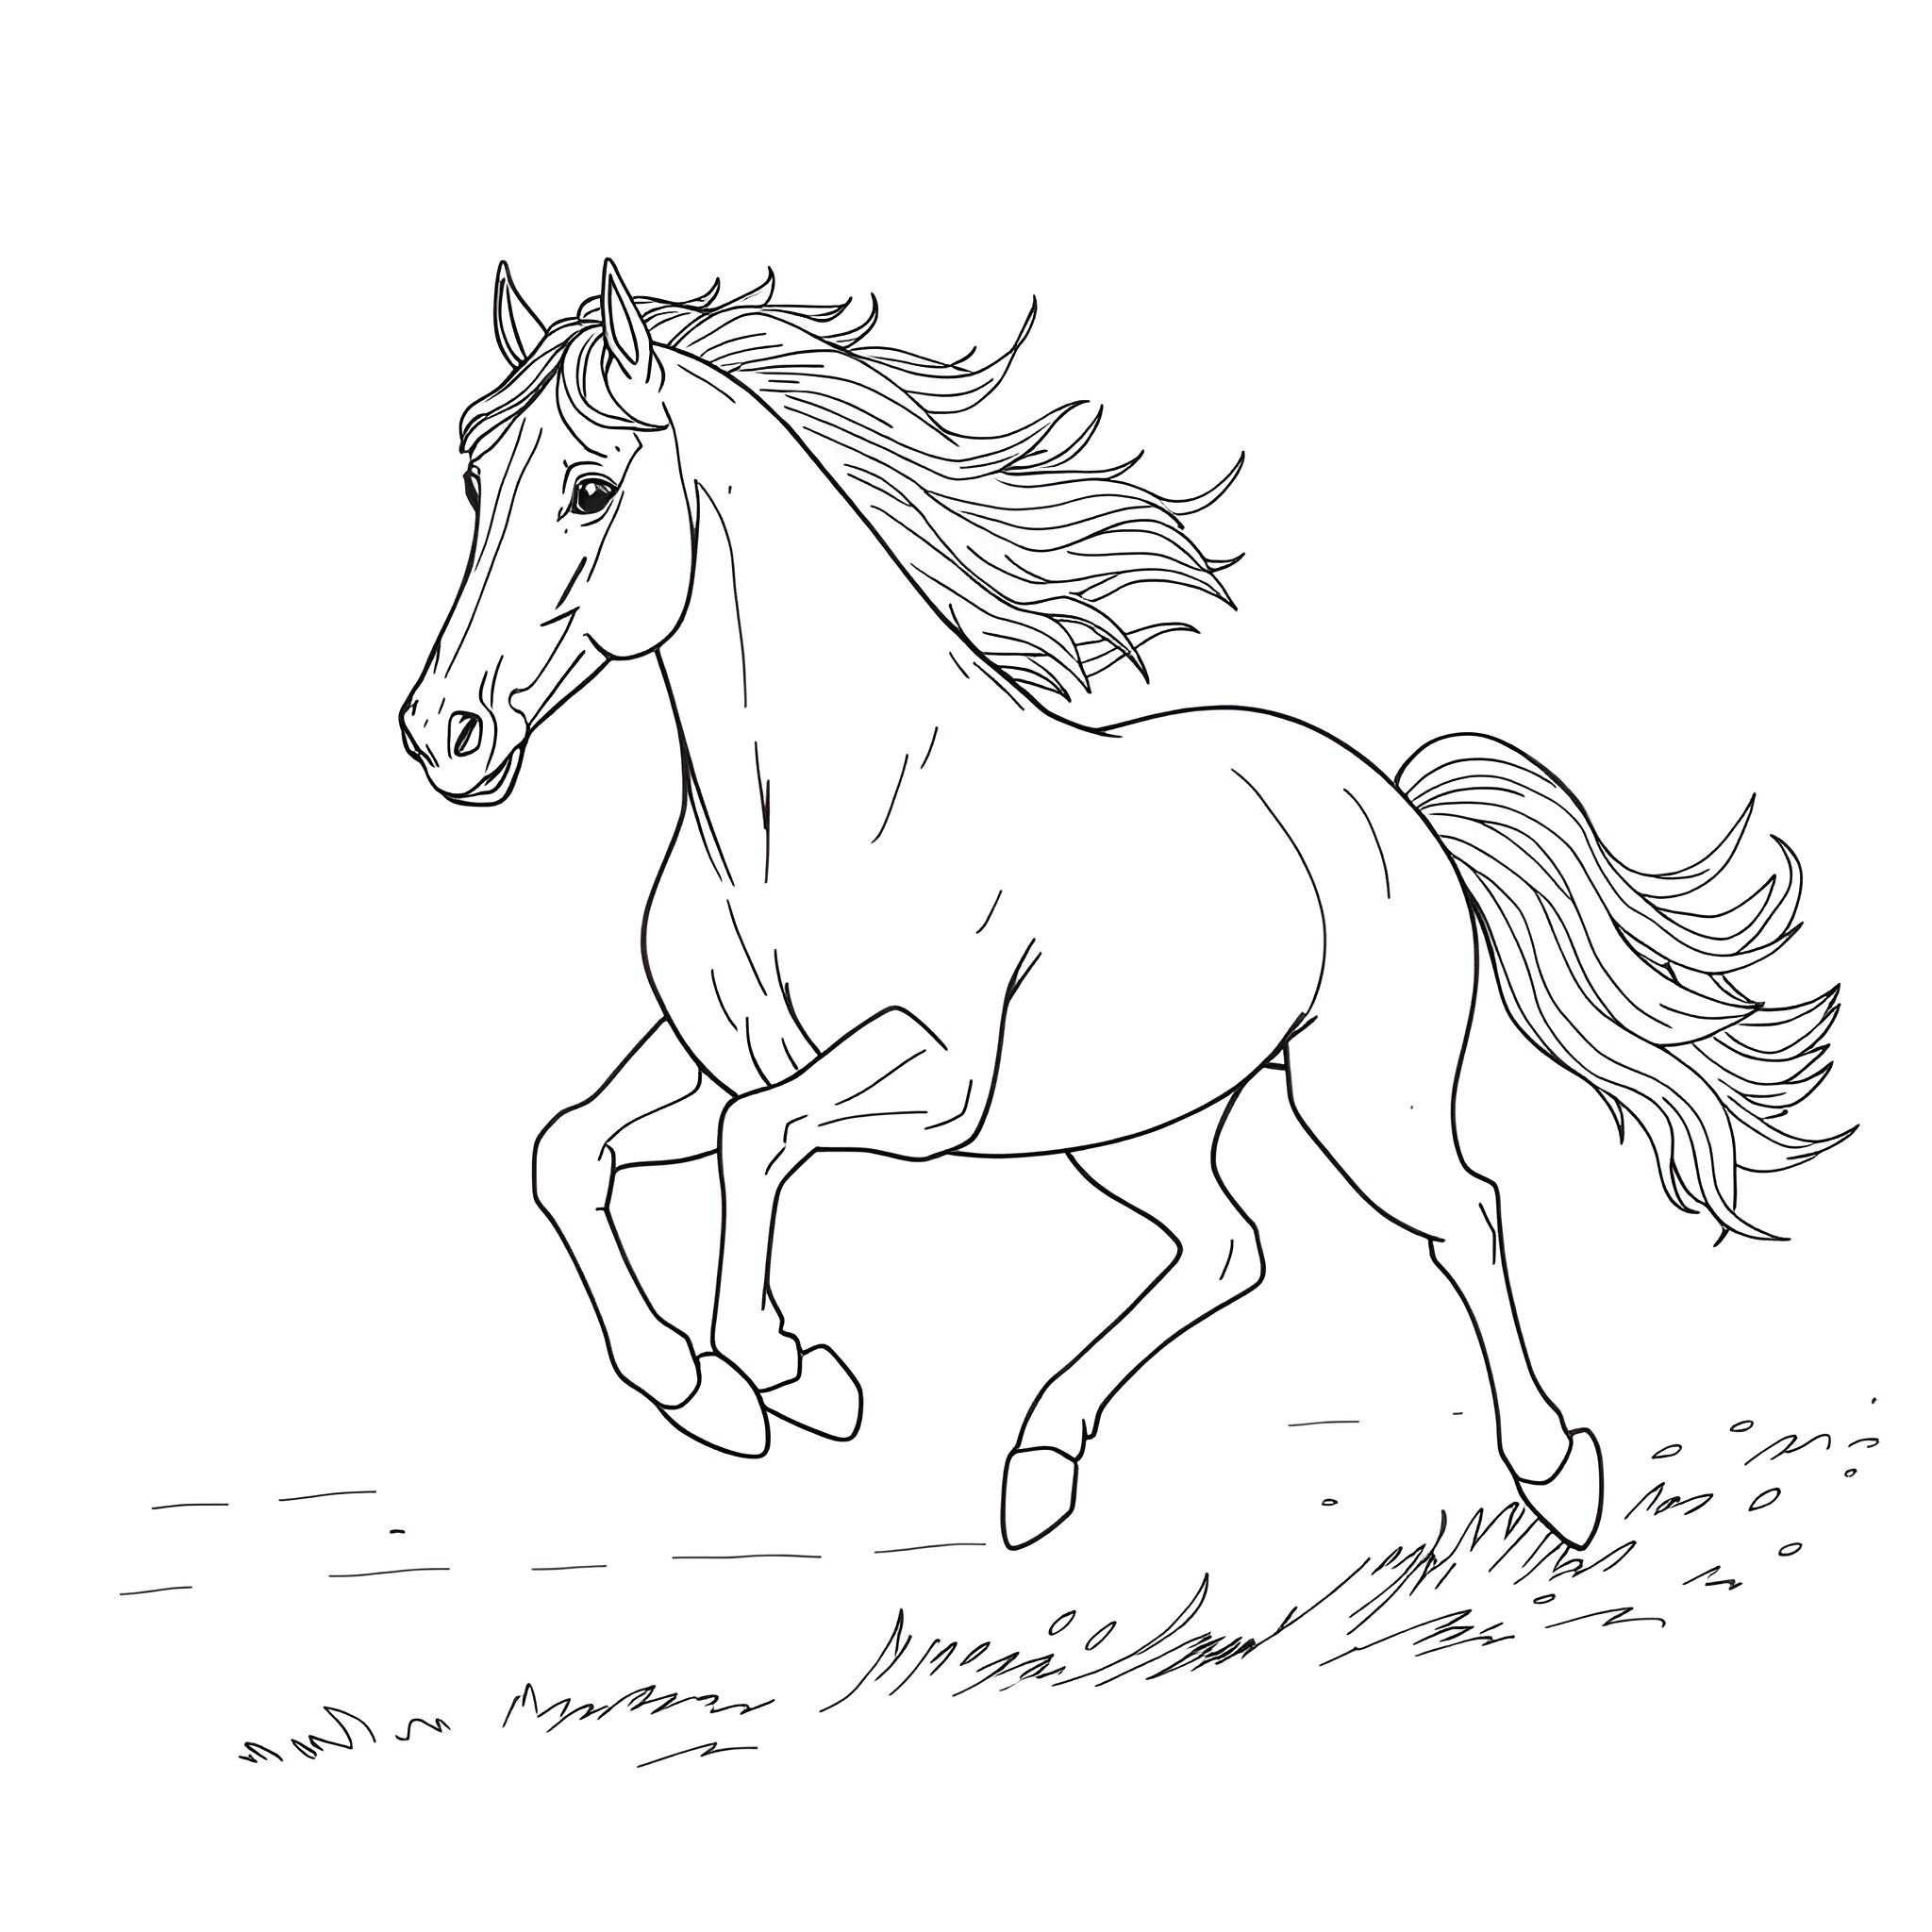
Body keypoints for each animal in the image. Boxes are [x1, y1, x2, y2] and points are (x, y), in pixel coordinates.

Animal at [399, 260, 1848, 1552]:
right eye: (472, 477)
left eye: (590, 487)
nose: (443, 733)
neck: (797, 816)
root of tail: (1392, 804)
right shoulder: (711, 1059)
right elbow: (568, 1154)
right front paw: (701, 1395)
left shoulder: (929, 1078)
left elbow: (755, 1147)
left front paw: (792, 1374)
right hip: (1134, 1123)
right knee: (1228, 1250)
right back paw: (1037, 1469)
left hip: (1357, 1099)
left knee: (1465, 1215)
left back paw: (1556, 1476)